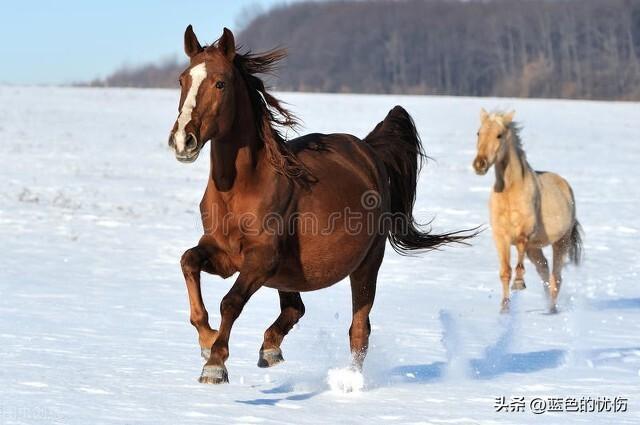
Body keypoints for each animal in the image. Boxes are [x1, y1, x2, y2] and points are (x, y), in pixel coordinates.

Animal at [169, 26, 476, 384]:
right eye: (182, 80)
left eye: (220, 83)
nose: (182, 140)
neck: (242, 188)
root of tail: (368, 151)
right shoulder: (223, 253)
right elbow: (188, 261)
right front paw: (207, 341)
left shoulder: (260, 259)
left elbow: (230, 302)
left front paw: (215, 364)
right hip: (288, 274)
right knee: (295, 308)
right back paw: (270, 349)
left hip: (366, 263)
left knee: (359, 329)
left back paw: (350, 382)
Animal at [472, 109, 584, 314]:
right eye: (478, 133)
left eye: (499, 135)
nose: (479, 164)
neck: (510, 191)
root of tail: (565, 185)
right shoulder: (500, 236)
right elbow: (505, 271)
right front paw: (504, 308)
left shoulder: (525, 234)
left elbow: (518, 261)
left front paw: (519, 283)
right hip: (535, 248)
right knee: (544, 271)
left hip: (561, 242)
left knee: (556, 277)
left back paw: (552, 310)